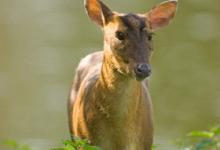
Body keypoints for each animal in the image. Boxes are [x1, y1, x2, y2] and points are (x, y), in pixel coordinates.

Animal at [68, 0, 177, 149]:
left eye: (150, 36)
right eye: (119, 34)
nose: (143, 69)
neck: (119, 139)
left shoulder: (145, 143)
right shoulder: (86, 142)